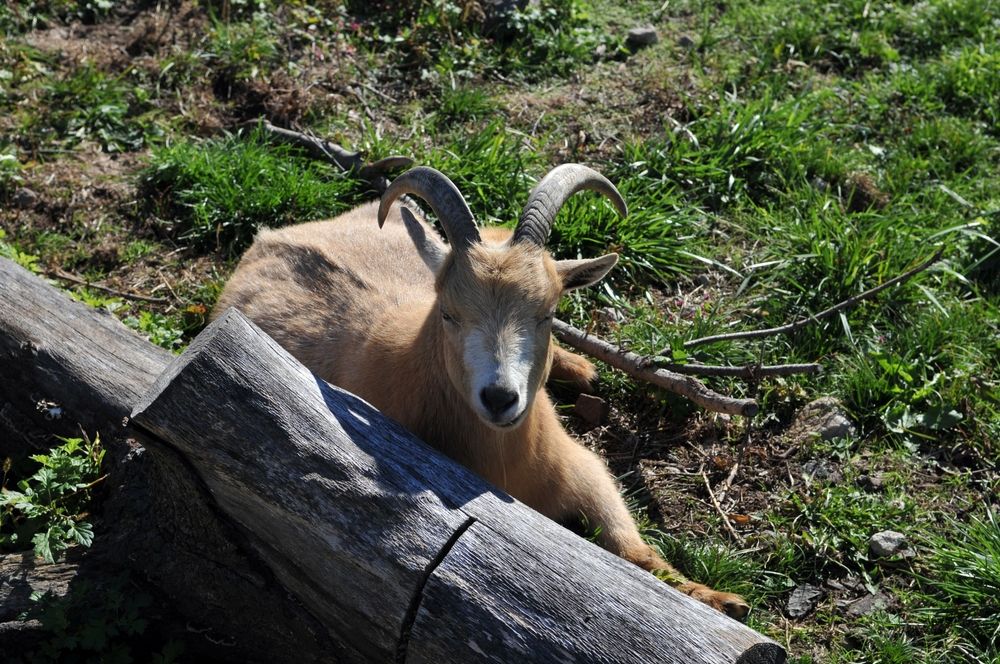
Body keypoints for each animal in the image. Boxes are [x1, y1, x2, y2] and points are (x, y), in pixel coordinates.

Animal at [213, 164, 749, 618]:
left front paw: (719, 600)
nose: (499, 398)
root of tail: (276, 234)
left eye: (547, 312)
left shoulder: (586, 470)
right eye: (449, 313)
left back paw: (581, 369)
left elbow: (636, 551)